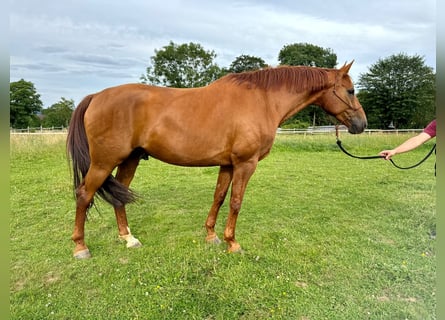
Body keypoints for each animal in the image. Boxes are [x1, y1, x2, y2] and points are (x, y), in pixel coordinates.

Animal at [66, 61, 364, 258]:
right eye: (350, 91)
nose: (362, 124)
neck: (263, 100)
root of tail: (96, 97)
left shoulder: (227, 164)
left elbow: (219, 197)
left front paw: (212, 236)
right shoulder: (245, 164)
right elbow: (235, 202)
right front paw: (233, 243)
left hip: (130, 160)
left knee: (120, 196)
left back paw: (128, 238)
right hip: (104, 162)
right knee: (84, 195)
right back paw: (81, 247)